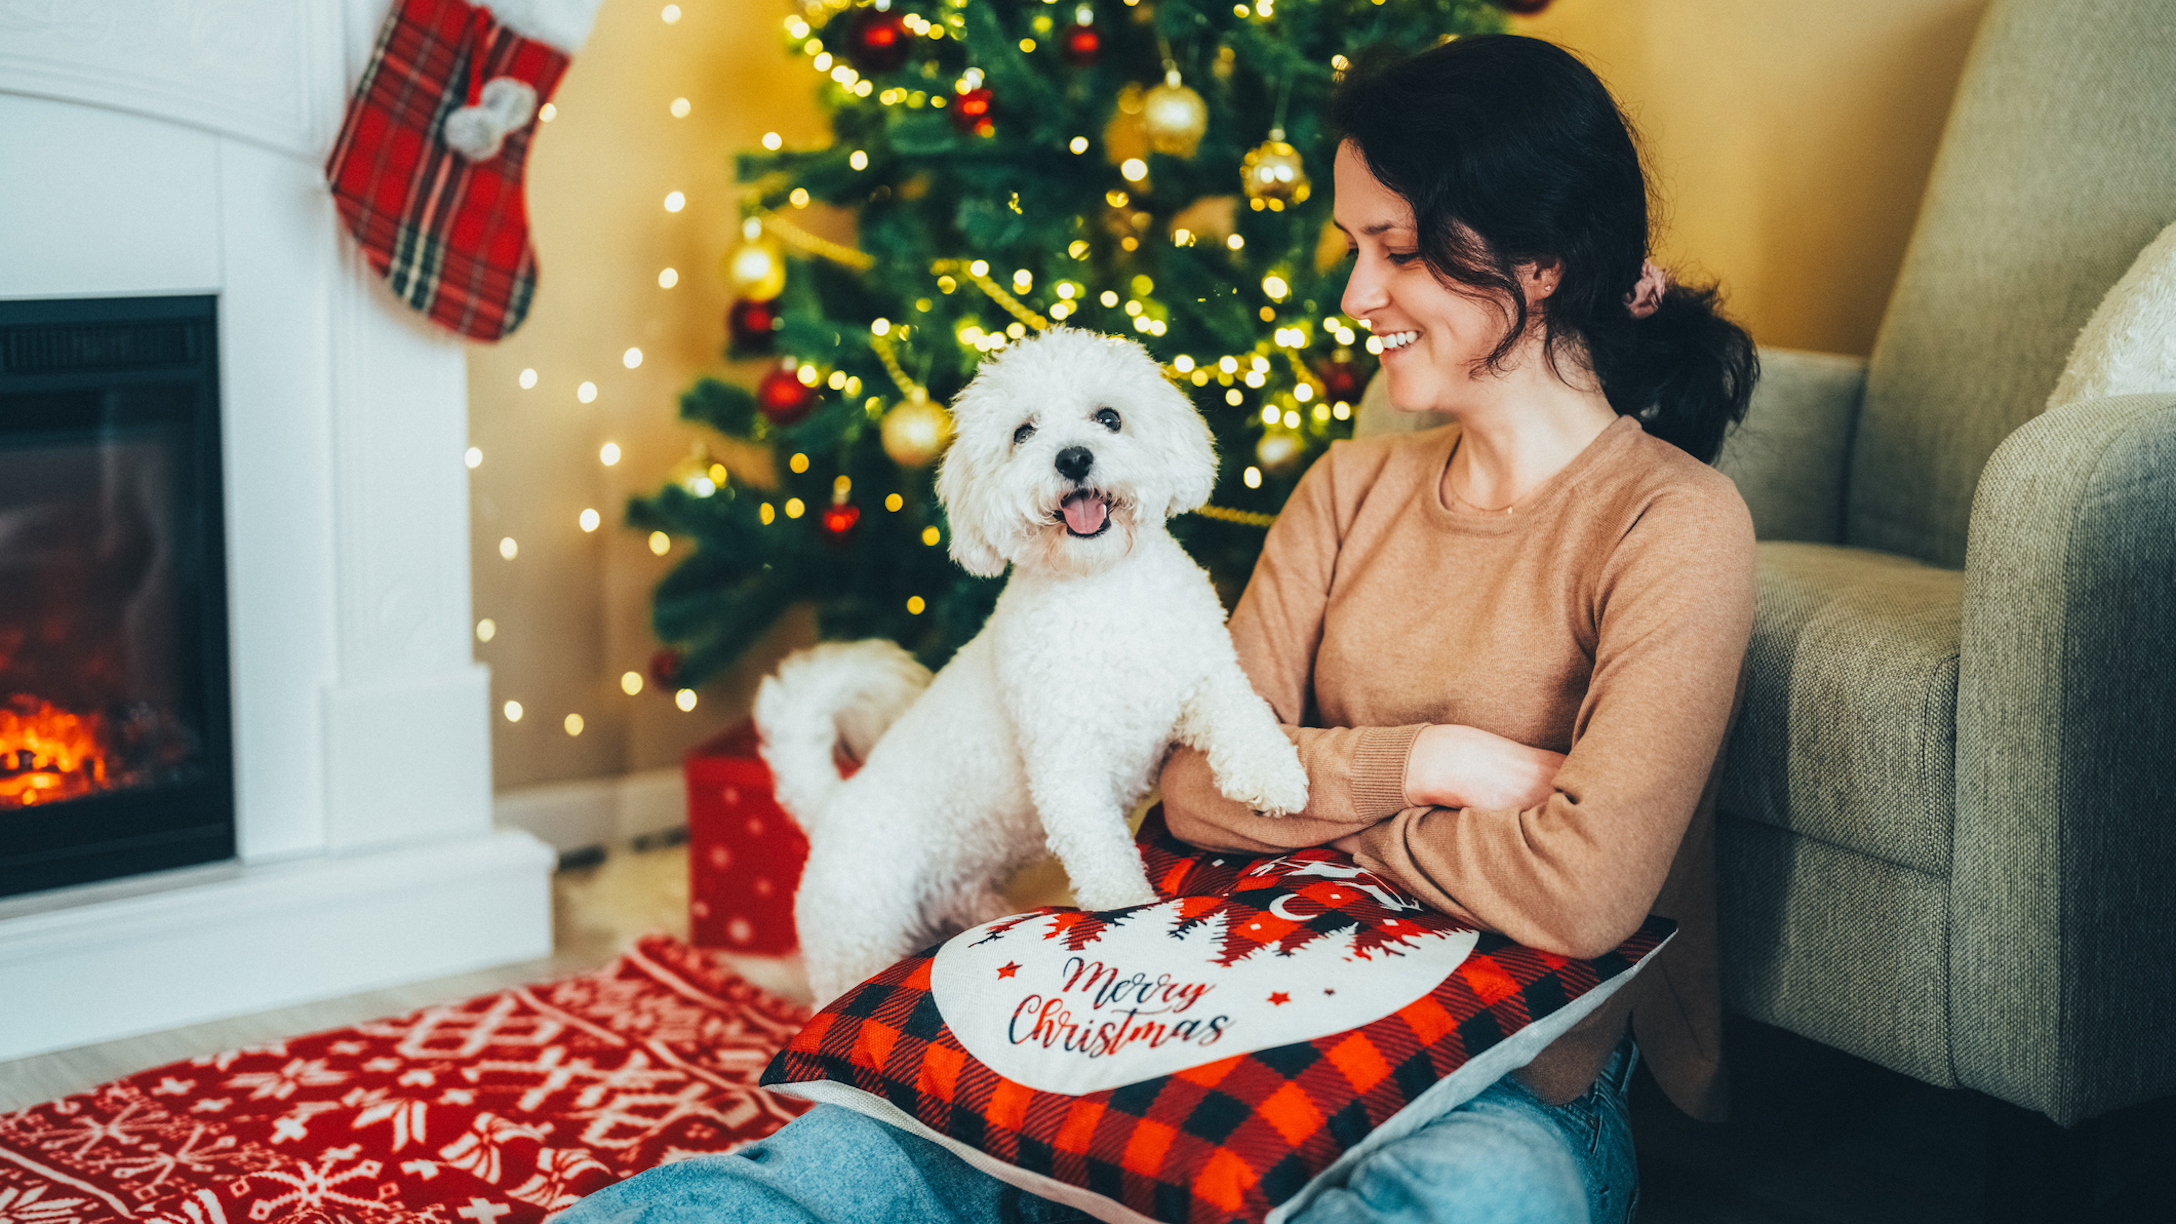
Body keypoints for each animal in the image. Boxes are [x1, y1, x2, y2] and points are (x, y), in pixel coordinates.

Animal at [761, 326, 1305, 1001]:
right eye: (1023, 432)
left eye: (1109, 418)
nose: (1072, 458)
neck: (1103, 592)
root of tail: (830, 809)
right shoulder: (1066, 764)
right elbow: (1101, 854)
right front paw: (1127, 909)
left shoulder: (1202, 675)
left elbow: (1242, 713)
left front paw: (1270, 776)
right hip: (855, 942)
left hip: (956, 892)